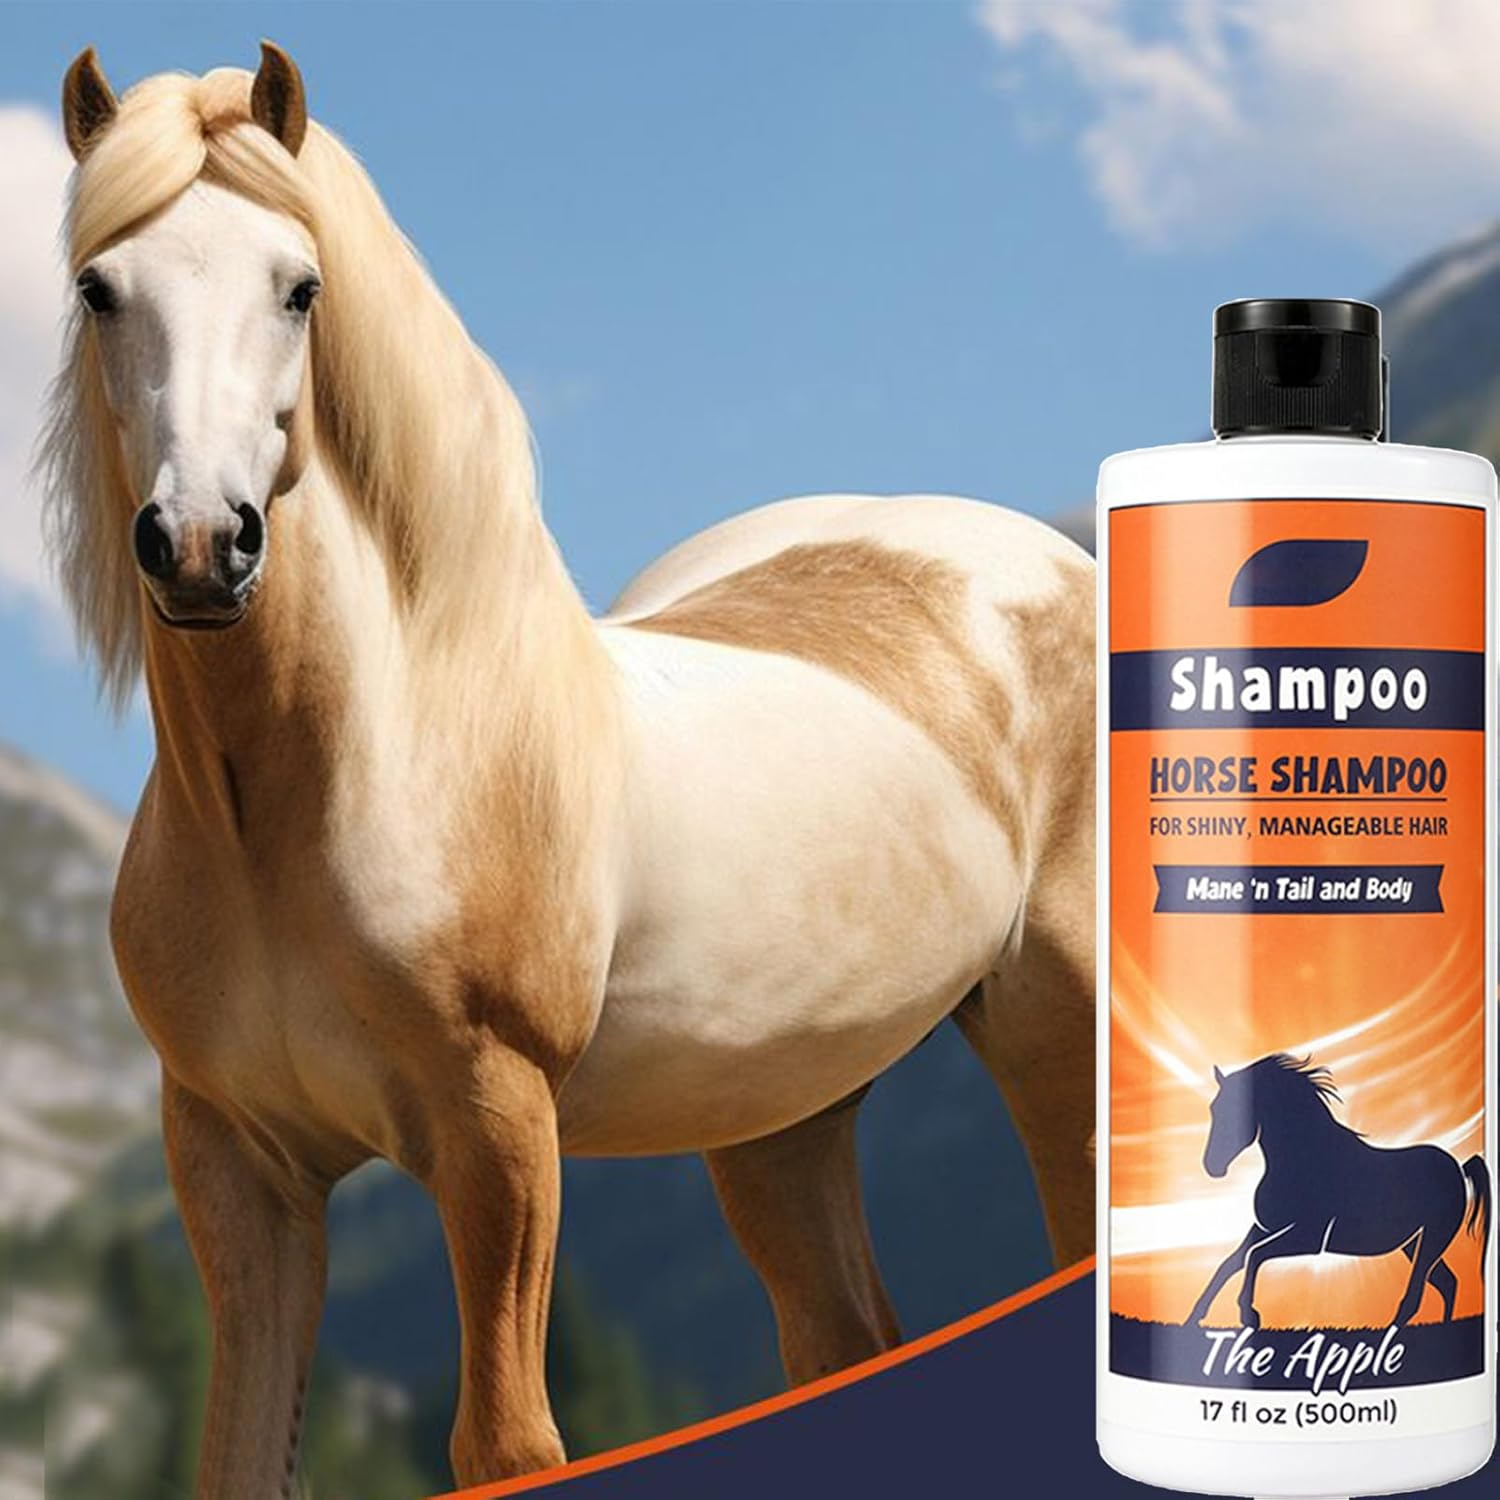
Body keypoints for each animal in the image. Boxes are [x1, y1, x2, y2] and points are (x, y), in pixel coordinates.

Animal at [43, 45, 1096, 1495]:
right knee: (845, 1336)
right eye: (101, 287)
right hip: (782, 1112)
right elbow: (239, 1453)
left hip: (1060, 1028)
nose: (203, 545)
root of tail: (1047, 554)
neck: (326, 794)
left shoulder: (498, 1129)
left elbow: (507, 1439)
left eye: (300, 285)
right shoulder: (236, 1161)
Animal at [1187, 1054, 1492, 1331]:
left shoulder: (1309, 1237)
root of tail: (1458, 1167)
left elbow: (1254, 1256)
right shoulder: (1264, 1228)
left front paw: (1248, 1315)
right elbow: (1230, 1262)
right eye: (1214, 1108)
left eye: (1235, 1109)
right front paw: (1195, 1318)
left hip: (1432, 1239)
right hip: (1413, 1243)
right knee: (1448, 1283)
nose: (1212, 1166)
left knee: (1415, 1297)